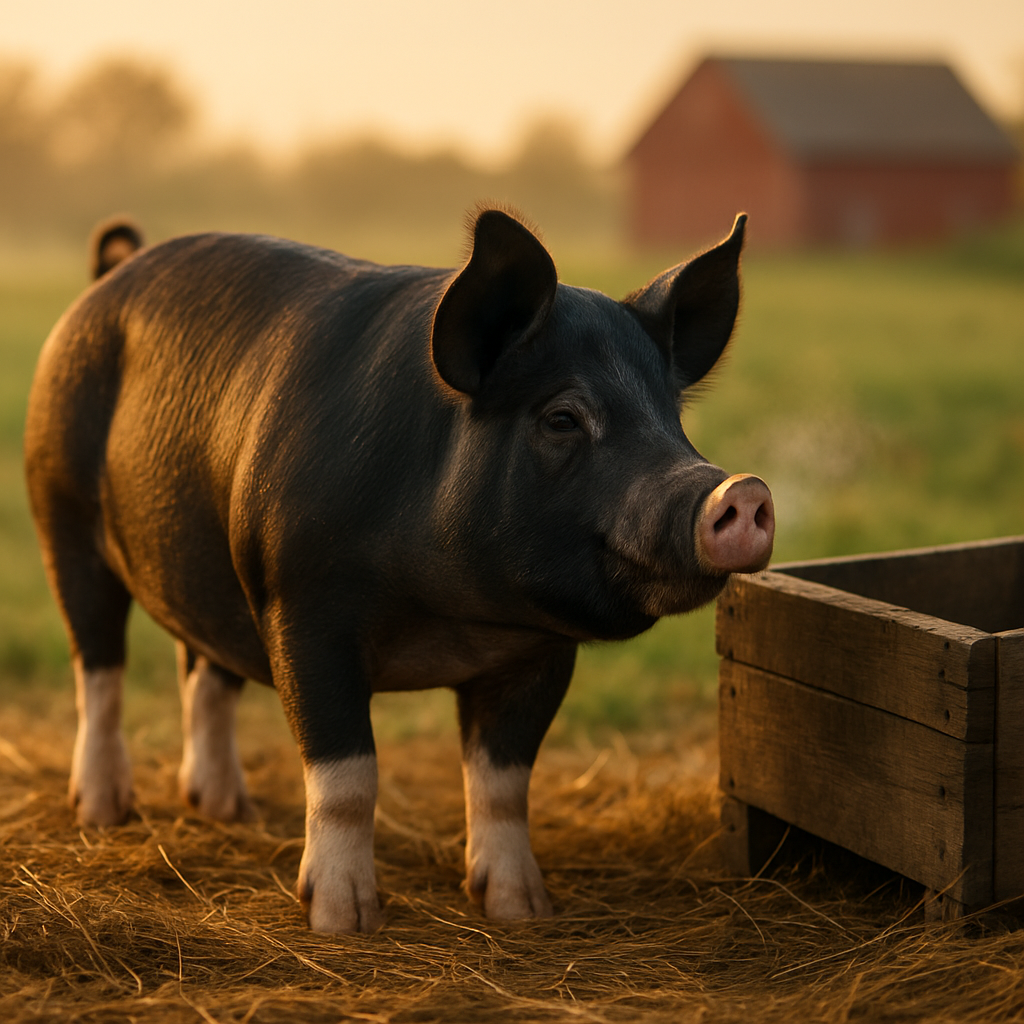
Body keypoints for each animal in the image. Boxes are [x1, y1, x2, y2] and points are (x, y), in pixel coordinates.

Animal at [24, 208, 774, 933]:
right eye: (563, 418)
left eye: (672, 419)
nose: (739, 489)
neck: (455, 612)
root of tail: (112, 274)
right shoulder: (303, 606)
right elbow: (349, 776)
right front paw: (343, 922)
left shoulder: (538, 651)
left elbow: (504, 782)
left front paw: (522, 910)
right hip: (60, 510)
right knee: (98, 666)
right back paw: (104, 811)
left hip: (212, 570)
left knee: (205, 669)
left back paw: (226, 808)